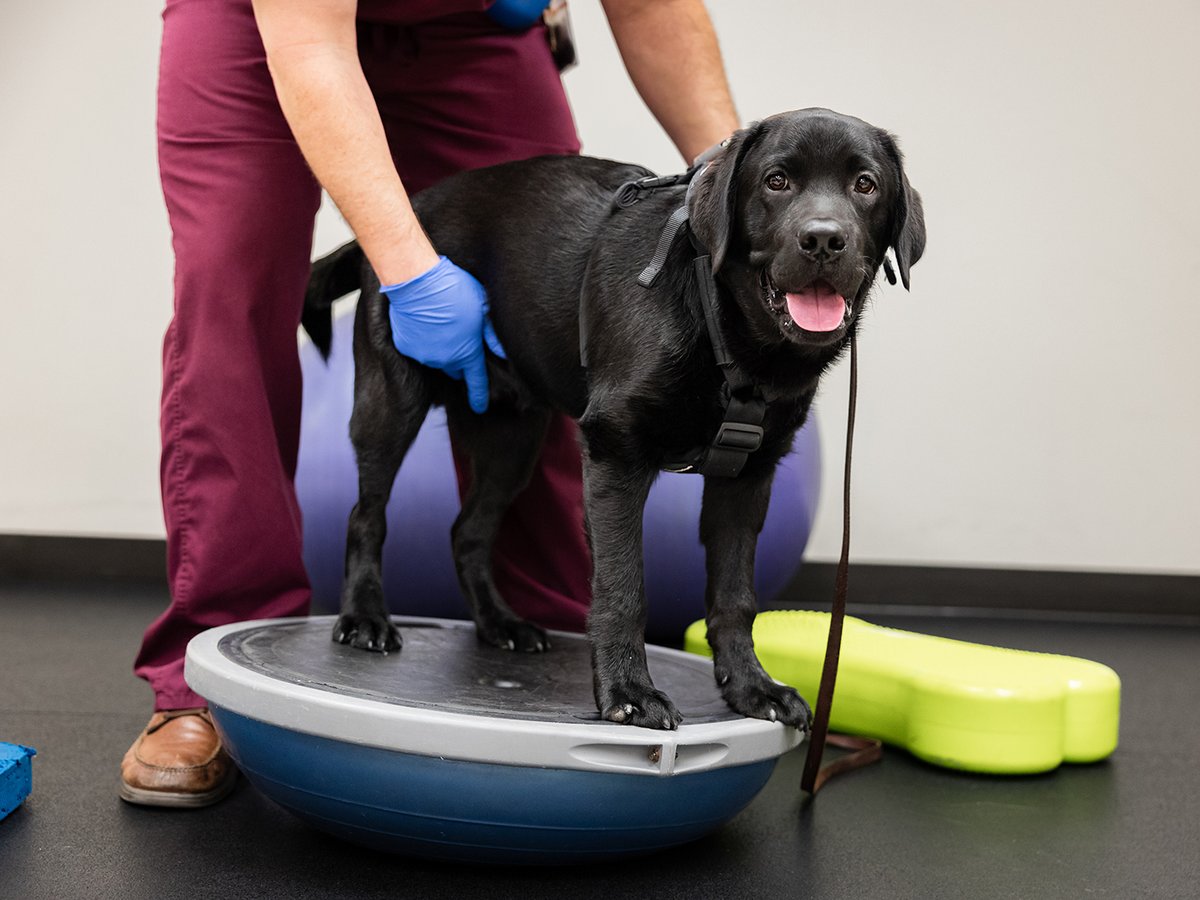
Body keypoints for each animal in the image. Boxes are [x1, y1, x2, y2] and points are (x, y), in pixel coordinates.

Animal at [304, 107, 921, 734]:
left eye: (865, 185)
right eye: (777, 181)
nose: (823, 238)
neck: (724, 330)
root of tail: (400, 216)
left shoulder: (748, 475)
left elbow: (735, 596)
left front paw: (751, 687)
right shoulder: (615, 453)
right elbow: (623, 587)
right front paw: (628, 691)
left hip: (512, 440)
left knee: (467, 532)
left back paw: (500, 623)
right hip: (390, 403)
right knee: (366, 513)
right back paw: (365, 618)